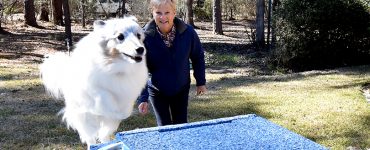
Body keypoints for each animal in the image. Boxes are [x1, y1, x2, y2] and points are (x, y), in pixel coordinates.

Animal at [40, 16, 149, 145]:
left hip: (108, 122)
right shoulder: (94, 89)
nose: (140, 49)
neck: (115, 66)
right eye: (120, 37)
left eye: (138, 35)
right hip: (84, 117)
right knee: (90, 135)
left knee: (104, 133)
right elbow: (104, 96)